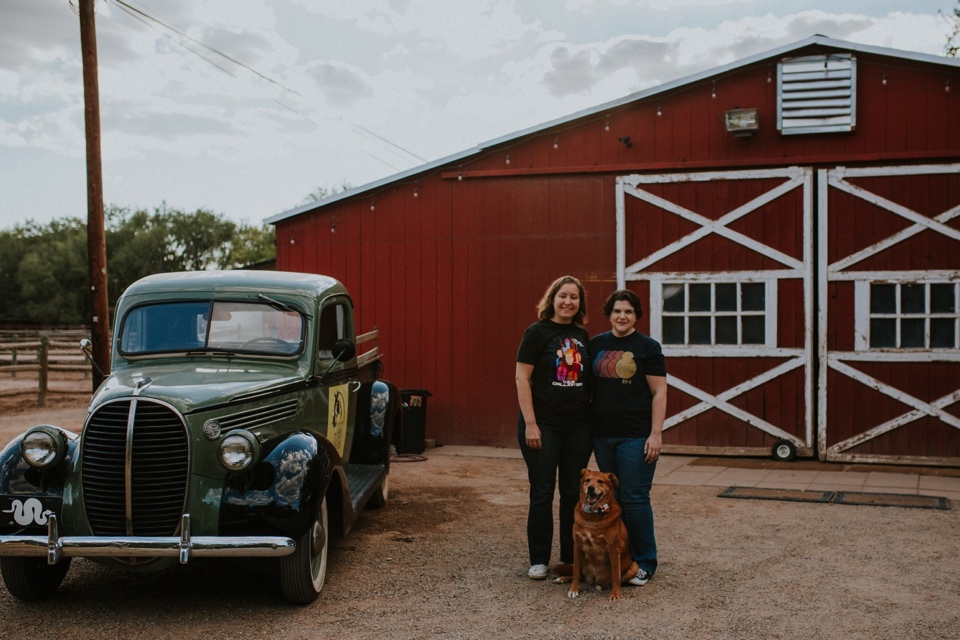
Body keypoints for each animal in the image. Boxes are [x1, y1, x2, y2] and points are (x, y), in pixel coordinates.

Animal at [556, 470, 636, 600]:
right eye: (587, 480)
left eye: (600, 481)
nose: (590, 488)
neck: (592, 515)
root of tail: (594, 579)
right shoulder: (577, 546)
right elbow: (576, 573)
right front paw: (573, 589)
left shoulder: (613, 549)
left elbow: (616, 576)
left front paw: (615, 594)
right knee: (580, 575)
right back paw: (563, 578)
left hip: (634, 567)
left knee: (618, 579)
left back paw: (601, 585)